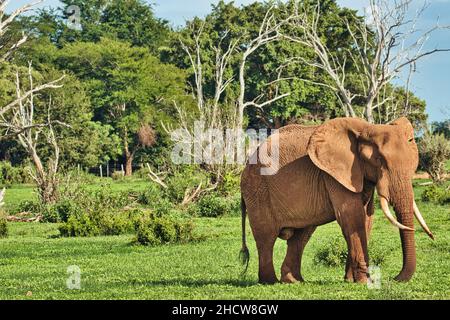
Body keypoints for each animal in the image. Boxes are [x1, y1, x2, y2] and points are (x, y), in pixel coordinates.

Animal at [239, 117, 432, 284]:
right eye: (379, 160)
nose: (395, 278)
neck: (367, 128)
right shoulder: (333, 174)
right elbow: (352, 217)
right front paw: (363, 282)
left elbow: (366, 218)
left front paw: (351, 280)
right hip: (257, 190)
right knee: (266, 237)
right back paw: (269, 281)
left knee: (301, 235)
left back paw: (294, 281)